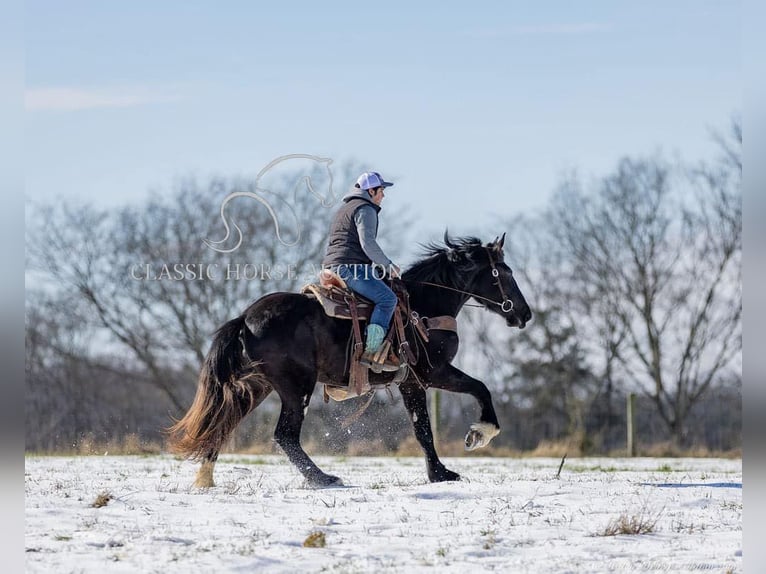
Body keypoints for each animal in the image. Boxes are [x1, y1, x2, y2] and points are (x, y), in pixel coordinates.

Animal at [167, 232, 532, 488]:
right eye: (504, 272)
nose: (525, 313)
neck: (424, 306)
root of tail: (245, 318)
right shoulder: (434, 372)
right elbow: (480, 389)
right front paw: (478, 435)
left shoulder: (410, 383)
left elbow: (423, 430)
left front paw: (439, 473)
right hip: (296, 388)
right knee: (285, 435)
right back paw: (323, 478)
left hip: (257, 387)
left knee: (223, 422)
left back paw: (206, 478)